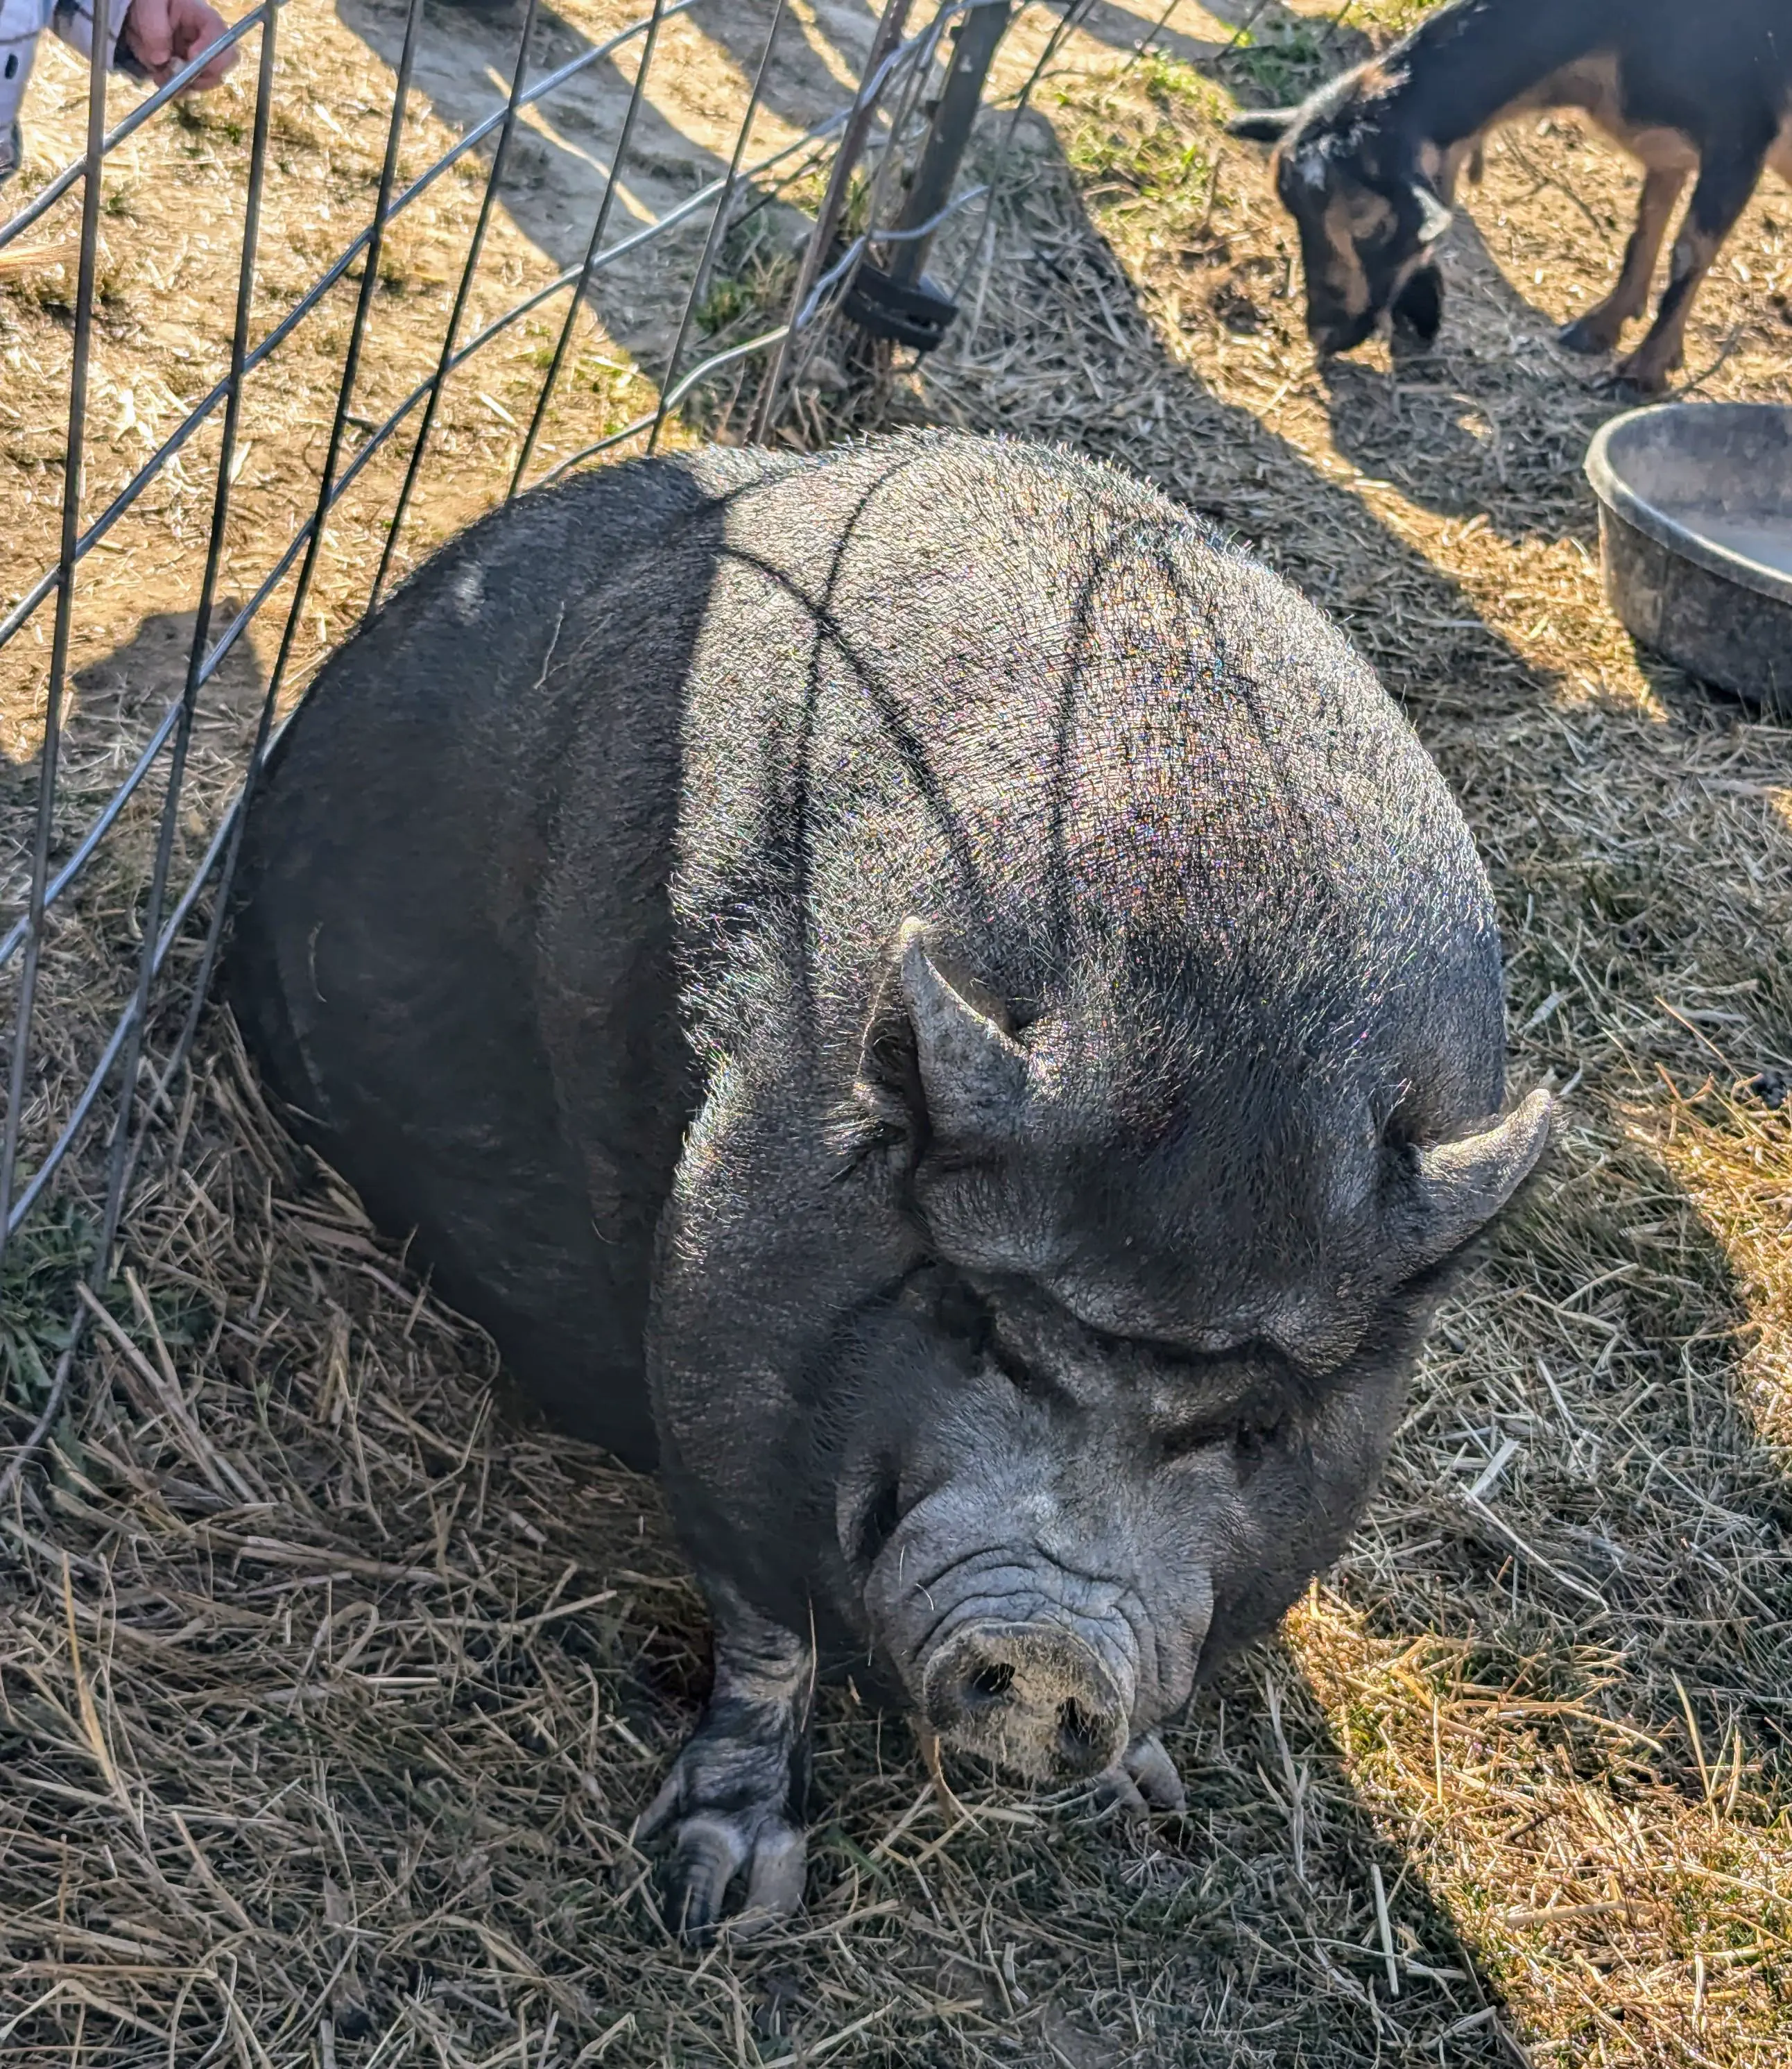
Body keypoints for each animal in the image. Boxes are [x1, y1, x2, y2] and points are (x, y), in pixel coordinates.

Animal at [225, 430, 1550, 1936]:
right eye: (979, 1328)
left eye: (1253, 1423)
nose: (1051, 1645)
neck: (1225, 1029)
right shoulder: (723, 1280)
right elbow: (761, 1617)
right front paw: (724, 1899)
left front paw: (1145, 1806)